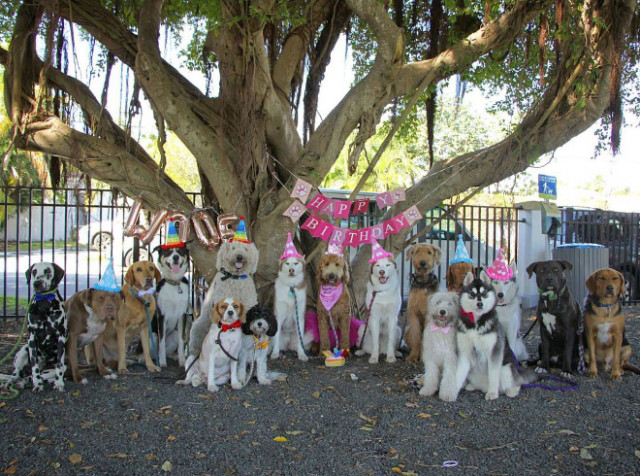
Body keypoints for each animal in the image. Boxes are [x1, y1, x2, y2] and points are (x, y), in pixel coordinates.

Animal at [452, 270, 532, 400]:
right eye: (472, 294)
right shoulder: (464, 351)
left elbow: (493, 375)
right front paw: (450, 392)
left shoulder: (495, 351)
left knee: (518, 381)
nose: (480, 304)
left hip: (506, 369)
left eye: (484, 293)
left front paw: (493, 392)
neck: (476, 323)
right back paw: (472, 386)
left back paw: (511, 390)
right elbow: (458, 374)